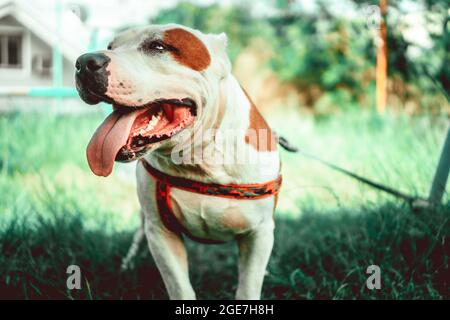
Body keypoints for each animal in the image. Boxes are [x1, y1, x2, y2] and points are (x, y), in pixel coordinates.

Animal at [74, 23, 292, 300]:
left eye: (158, 46)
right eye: (111, 46)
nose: (84, 62)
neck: (200, 159)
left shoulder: (259, 233)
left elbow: (248, 286)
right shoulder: (161, 232)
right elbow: (179, 286)